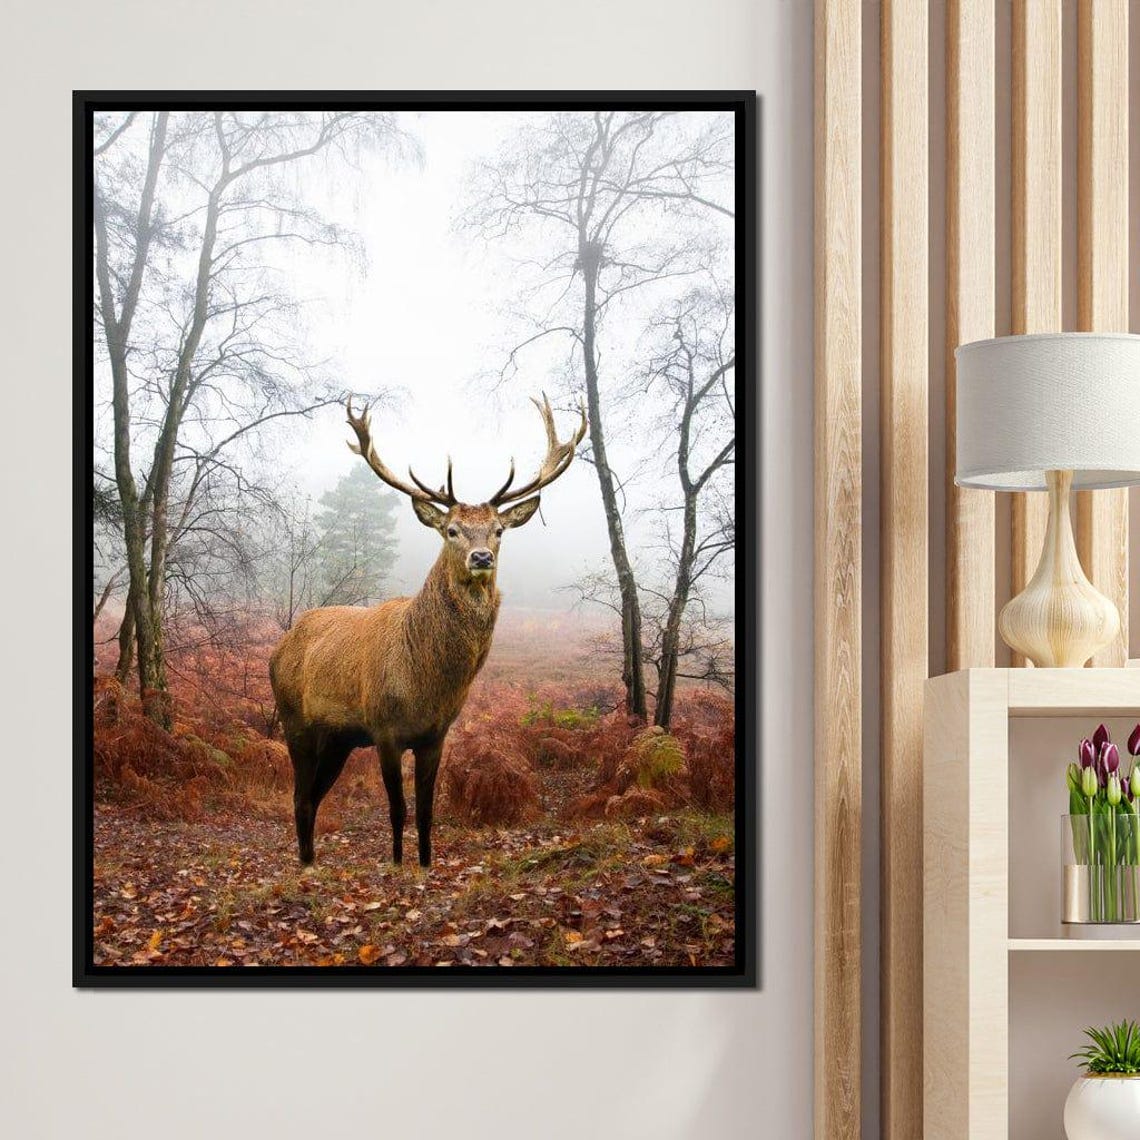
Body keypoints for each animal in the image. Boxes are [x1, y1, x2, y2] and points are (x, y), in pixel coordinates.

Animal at [269, 394, 587, 869]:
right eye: (451, 530)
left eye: (498, 531)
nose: (480, 557)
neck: (425, 682)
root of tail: (279, 647)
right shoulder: (384, 729)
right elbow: (397, 810)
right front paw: (398, 864)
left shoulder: (435, 735)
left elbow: (426, 811)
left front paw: (424, 863)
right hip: (295, 721)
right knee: (300, 796)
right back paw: (306, 865)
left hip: (339, 739)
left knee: (313, 795)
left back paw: (310, 860)